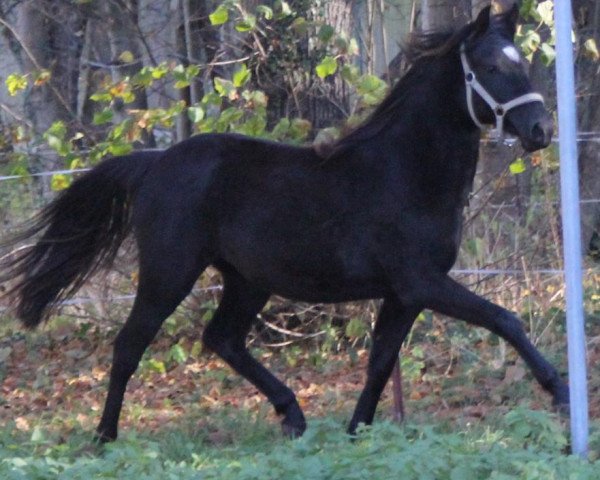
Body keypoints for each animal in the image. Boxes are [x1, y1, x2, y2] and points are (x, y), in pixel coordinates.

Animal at [1, 4, 568, 442]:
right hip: (169, 273)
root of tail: (154, 163)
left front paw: (355, 433)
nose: (541, 130)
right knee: (129, 345)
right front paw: (561, 392)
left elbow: (381, 362)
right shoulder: (422, 282)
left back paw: (292, 415)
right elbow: (505, 320)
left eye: (521, 63)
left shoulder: (404, 294)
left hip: (247, 281)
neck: (404, 170)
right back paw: (104, 437)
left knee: (222, 339)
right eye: (491, 65)